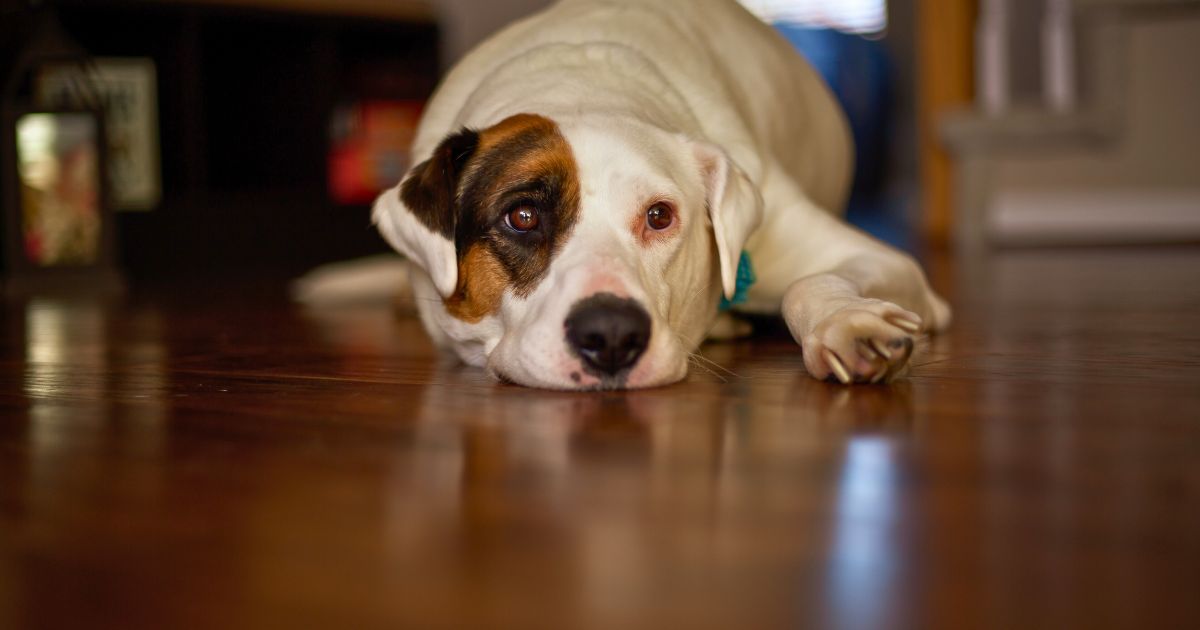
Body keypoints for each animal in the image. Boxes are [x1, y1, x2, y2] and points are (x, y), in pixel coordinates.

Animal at [369, 0, 950, 388]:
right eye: (523, 216)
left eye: (659, 216)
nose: (610, 335)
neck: (579, 82)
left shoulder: (886, 261)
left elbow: (809, 283)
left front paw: (847, 324)